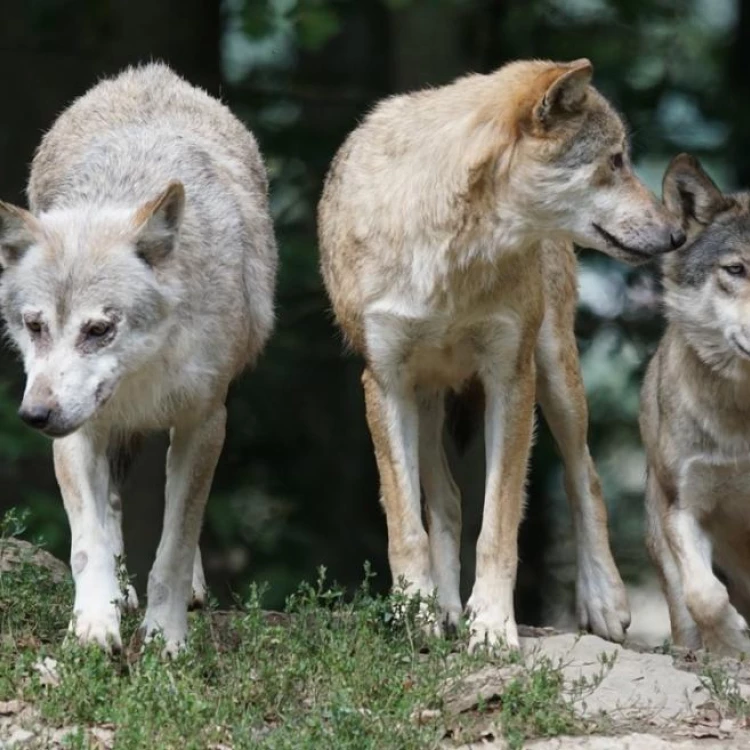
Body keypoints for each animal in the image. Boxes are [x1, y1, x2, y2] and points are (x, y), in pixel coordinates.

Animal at [0, 63, 280, 652]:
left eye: (99, 330)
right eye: (35, 326)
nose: (34, 416)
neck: (142, 376)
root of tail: (149, 73)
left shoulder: (206, 422)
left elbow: (176, 544)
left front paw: (165, 638)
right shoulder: (77, 430)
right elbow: (88, 542)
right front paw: (93, 626)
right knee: (110, 508)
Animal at [318, 57, 688, 652]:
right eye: (615, 161)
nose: (677, 234)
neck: (452, 253)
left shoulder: (510, 379)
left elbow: (498, 525)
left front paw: (491, 626)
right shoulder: (385, 383)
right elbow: (405, 524)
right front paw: (417, 614)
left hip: (556, 374)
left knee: (585, 476)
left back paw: (603, 601)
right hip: (426, 399)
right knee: (445, 500)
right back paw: (444, 609)